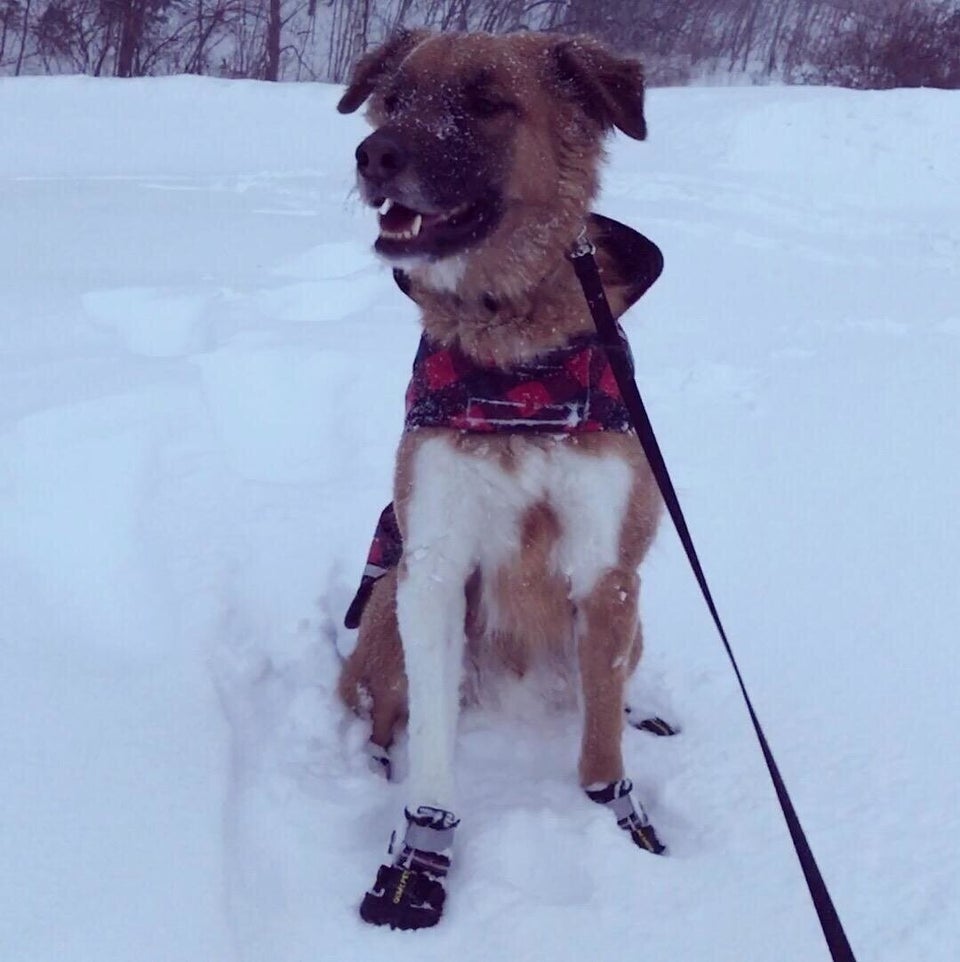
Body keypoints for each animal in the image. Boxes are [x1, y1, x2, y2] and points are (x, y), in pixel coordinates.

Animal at [338, 31, 668, 928]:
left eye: (489, 102)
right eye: (394, 99)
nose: (374, 156)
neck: (517, 372)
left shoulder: (609, 570)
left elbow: (602, 746)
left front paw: (619, 815)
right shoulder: (432, 566)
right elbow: (432, 755)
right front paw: (418, 857)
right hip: (386, 600)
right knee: (375, 710)